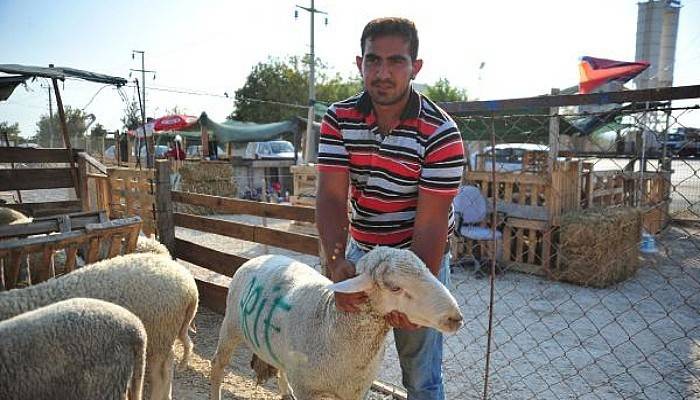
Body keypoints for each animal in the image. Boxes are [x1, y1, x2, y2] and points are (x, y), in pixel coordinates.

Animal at [209, 246, 464, 400]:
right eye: (395, 287)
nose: (456, 318)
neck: (330, 324)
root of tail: (259, 258)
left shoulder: (356, 390)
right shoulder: (308, 390)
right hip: (231, 324)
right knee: (218, 363)